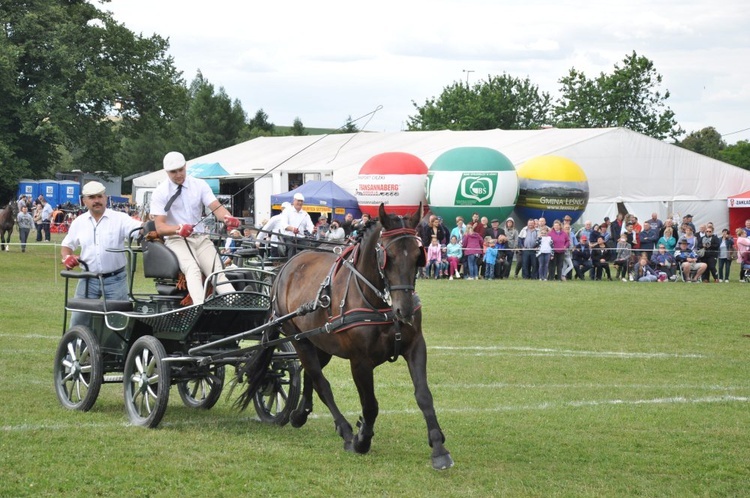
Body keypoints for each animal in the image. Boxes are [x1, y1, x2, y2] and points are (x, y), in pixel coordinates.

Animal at [238, 202, 456, 470]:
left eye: (418, 255)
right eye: (388, 257)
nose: (403, 311)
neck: (379, 302)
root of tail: (285, 268)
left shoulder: (415, 346)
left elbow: (424, 395)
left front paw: (438, 448)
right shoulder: (360, 362)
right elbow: (370, 405)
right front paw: (362, 439)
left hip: (320, 343)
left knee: (310, 374)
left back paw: (300, 414)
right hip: (299, 339)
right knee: (321, 382)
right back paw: (345, 430)